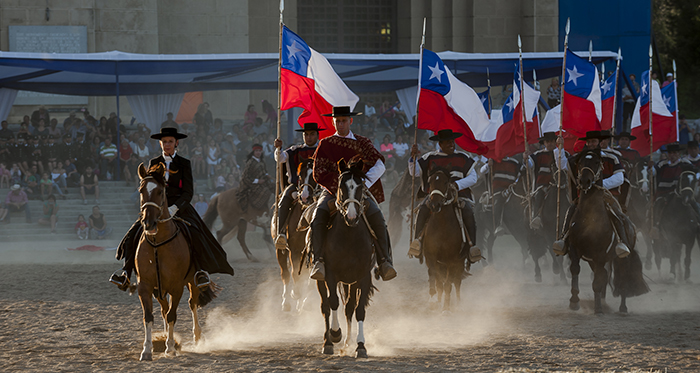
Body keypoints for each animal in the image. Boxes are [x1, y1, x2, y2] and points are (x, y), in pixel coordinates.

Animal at [133, 163, 216, 360]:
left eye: (160, 191)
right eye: (141, 190)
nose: (149, 223)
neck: (158, 244)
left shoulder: (177, 286)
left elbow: (173, 315)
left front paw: (170, 348)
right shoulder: (145, 286)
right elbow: (149, 316)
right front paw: (147, 350)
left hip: (192, 282)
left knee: (192, 303)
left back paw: (196, 337)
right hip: (159, 290)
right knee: (164, 309)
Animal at [272, 157, 318, 310]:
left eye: (315, 176)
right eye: (300, 175)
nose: (304, 197)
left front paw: (304, 301)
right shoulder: (294, 249)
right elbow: (294, 273)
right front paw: (295, 294)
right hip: (280, 250)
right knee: (285, 274)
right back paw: (286, 302)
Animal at [318, 157, 378, 358]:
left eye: (360, 186)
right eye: (341, 186)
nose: (351, 216)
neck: (349, 237)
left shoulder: (363, 276)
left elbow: (359, 310)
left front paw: (361, 346)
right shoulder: (330, 274)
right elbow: (333, 302)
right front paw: (335, 333)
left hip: (350, 281)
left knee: (349, 307)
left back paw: (348, 342)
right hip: (321, 278)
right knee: (326, 306)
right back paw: (328, 341)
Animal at [422, 168, 470, 308]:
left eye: (445, 182)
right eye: (430, 181)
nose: (434, 205)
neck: (442, 226)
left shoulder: (452, 260)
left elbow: (449, 283)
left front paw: (446, 308)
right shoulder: (431, 256)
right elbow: (434, 276)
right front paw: (433, 298)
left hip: (459, 262)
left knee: (457, 281)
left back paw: (458, 302)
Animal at [568, 149, 648, 314]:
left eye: (596, 162)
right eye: (581, 162)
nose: (584, 181)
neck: (589, 219)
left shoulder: (600, 254)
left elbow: (598, 281)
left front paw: (598, 308)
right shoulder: (575, 248)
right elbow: (575, 269)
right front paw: (574, 301)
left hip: (621, 257)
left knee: (622, 275)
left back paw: (622, 307)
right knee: (605, 275)